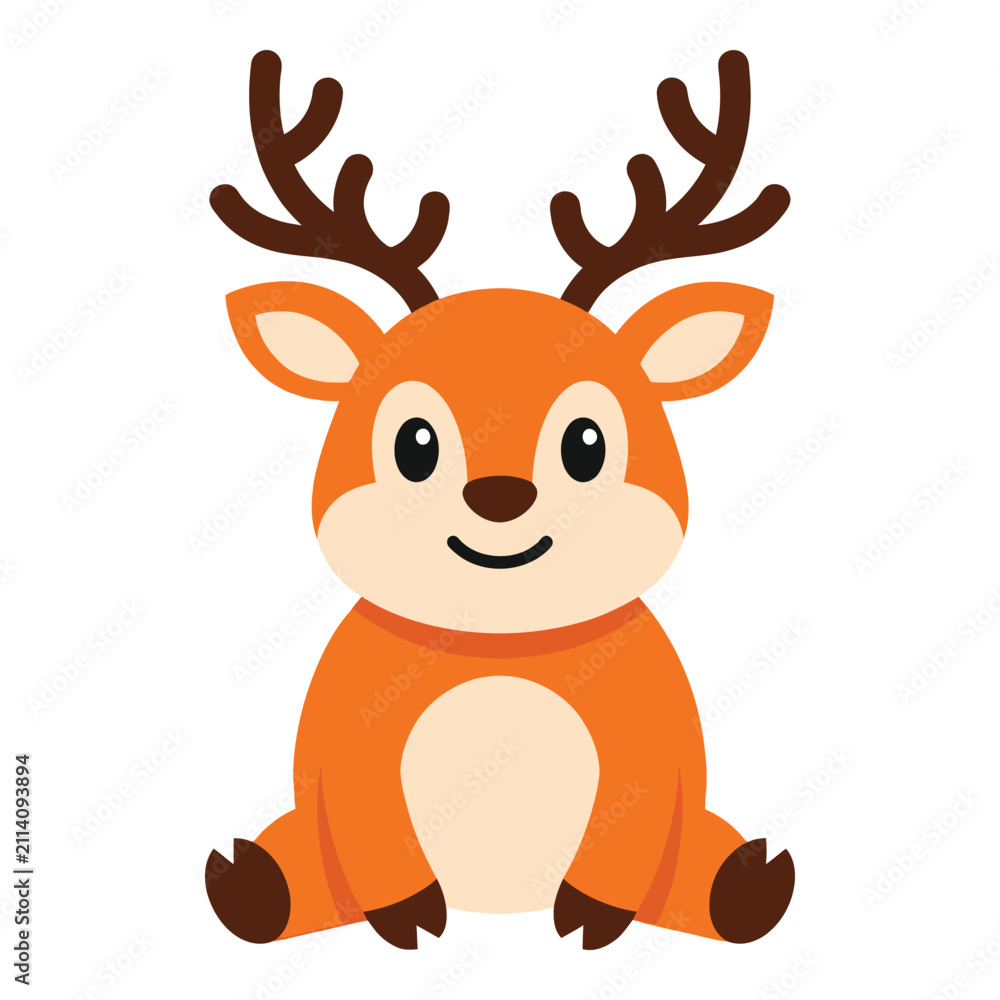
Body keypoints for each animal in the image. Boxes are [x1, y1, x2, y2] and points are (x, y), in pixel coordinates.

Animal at [204, 48, 794, 951]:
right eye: (415, 444)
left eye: (586, 444)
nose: (500, 498)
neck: (500, 646)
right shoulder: (352, 735)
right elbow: (367, 822)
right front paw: (406, 916)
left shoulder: (648, 732)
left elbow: (634, 822)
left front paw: (593, 916)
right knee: (272, 887)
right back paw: (249, 882)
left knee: (726, 888)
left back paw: (749, 882)